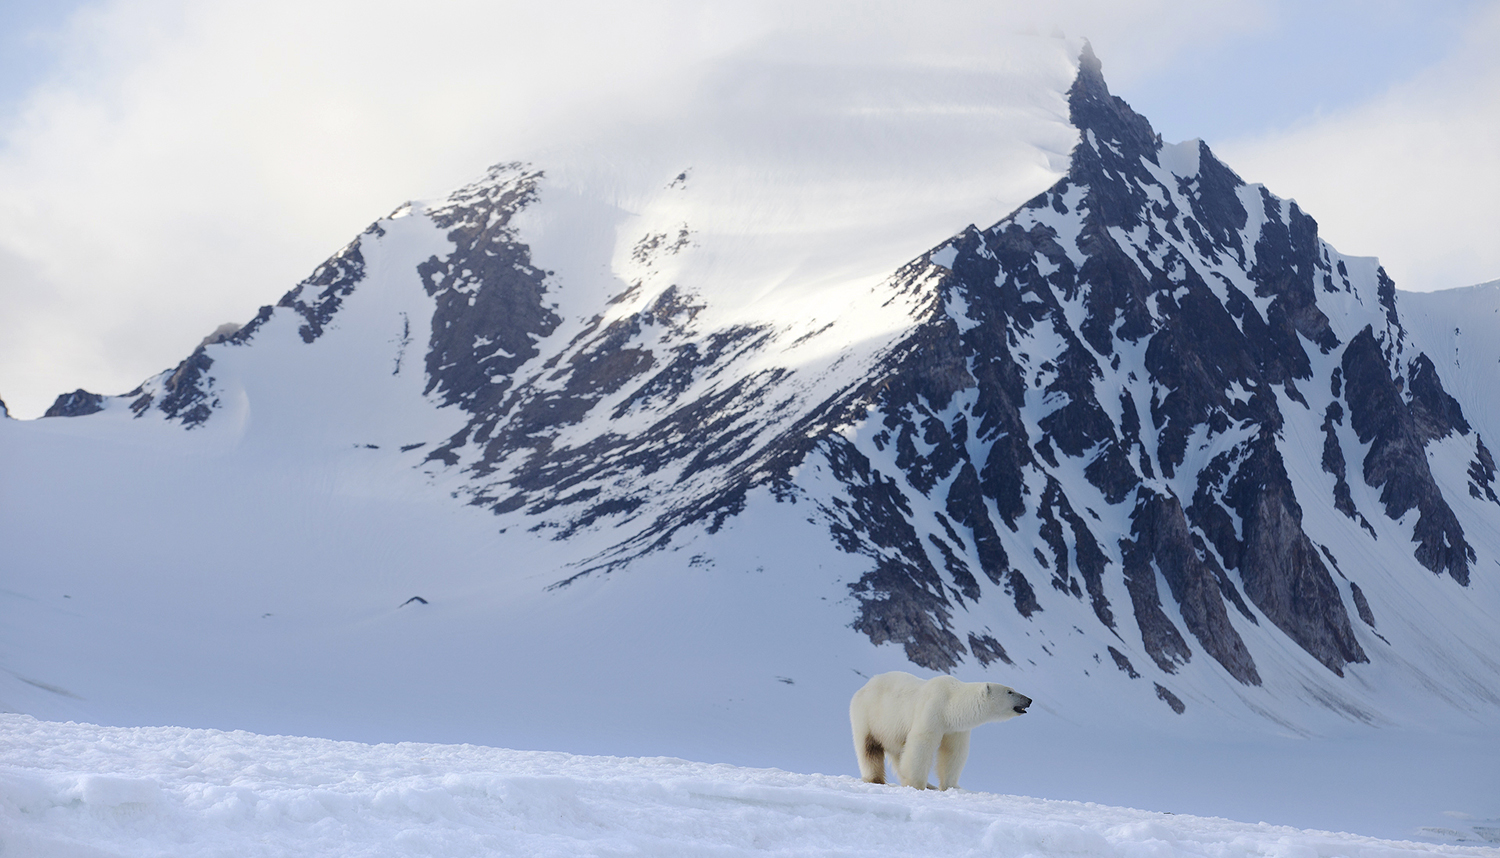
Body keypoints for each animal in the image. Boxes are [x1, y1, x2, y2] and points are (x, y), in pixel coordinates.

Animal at [852, 669, 1026, 792]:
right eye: (1010, 691)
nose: (1028, 700)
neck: (950, 702)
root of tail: (864, 687)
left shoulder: (955, 728)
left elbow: (953, 752)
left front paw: (951, 785)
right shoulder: (932, 709)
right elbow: (921, 743)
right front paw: (917, 784)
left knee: (899, 754)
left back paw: (929, 784)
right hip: (868, 716)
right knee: (868, 749)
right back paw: (875, 778)